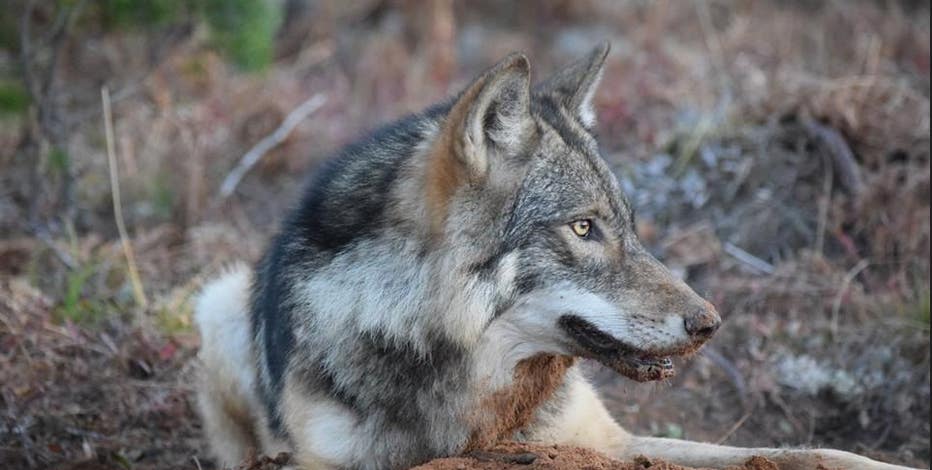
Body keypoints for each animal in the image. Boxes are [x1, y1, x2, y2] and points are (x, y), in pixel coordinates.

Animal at [194, 43, 917, 470]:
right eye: (583, 228)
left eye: (628, 226)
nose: (710, 324)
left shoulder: (611, 443)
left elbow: (816, 452)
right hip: (216, 303)